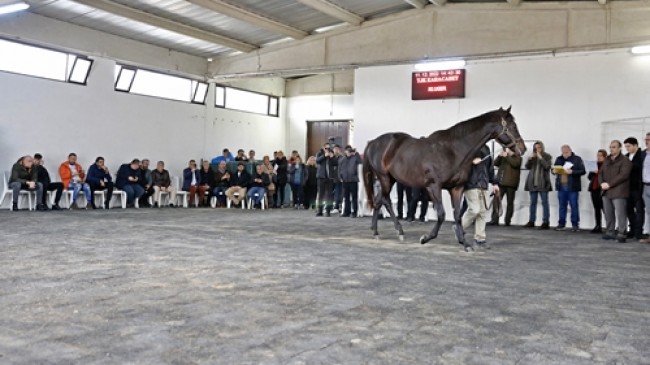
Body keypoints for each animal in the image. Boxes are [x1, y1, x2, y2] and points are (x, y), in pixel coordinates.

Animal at [362, 106, 524, 252]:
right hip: (384, 178)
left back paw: (376, 232)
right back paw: (398, 231)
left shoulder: (457, 188)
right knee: (386, 200)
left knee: (378, 200)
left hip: (390, 179)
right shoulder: (434, 187)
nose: (523, 149)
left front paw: (465, 243)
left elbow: (457, 215)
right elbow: (441, 215)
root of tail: (373, 142)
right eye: (513, 126)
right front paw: (425, 238)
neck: (452, 150)